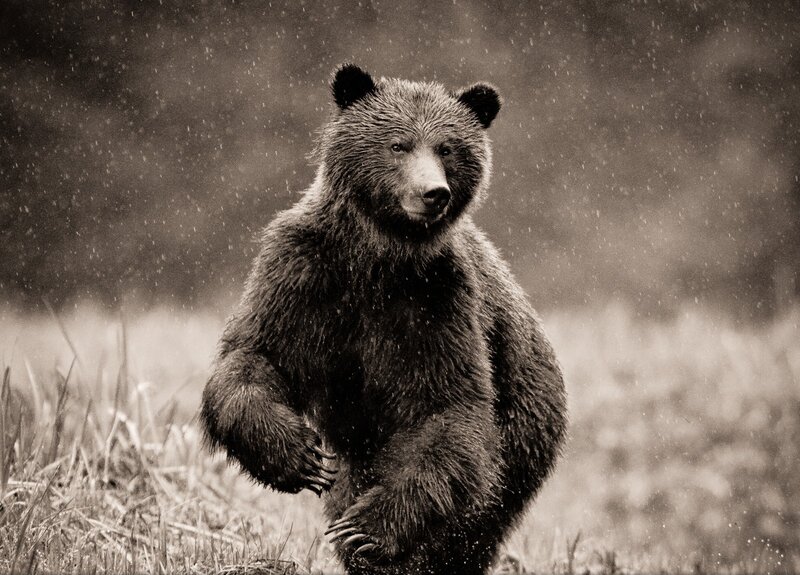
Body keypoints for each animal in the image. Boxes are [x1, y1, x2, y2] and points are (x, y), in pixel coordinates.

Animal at [200, 64, 568, 575]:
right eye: (398, 144)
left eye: (447, 148)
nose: (433, 193)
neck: (378, 257)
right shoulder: (302, 276)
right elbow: (254, 355)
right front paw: (298, 455)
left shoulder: (435, 302)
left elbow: (445, 406)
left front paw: (368, 529)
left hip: (522, 428)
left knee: (473, 520)